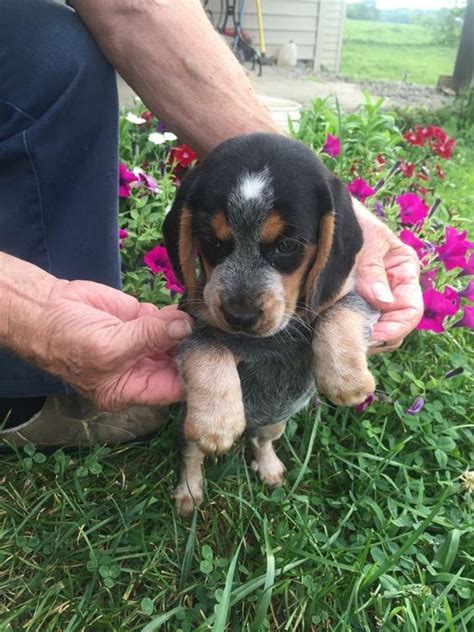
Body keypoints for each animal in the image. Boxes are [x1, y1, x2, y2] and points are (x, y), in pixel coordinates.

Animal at [163, 132, 378, 512]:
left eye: (287, 246)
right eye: (212, 241)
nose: (240, 316)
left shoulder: (354, 299)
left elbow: (338, 313)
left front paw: (347, 380)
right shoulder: (188, 322)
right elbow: (209, 346)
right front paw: (218, 419)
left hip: (275, 423)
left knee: (261, 441)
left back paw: (269, 467)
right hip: (186, 428)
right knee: (192, 455)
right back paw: (189, 491)